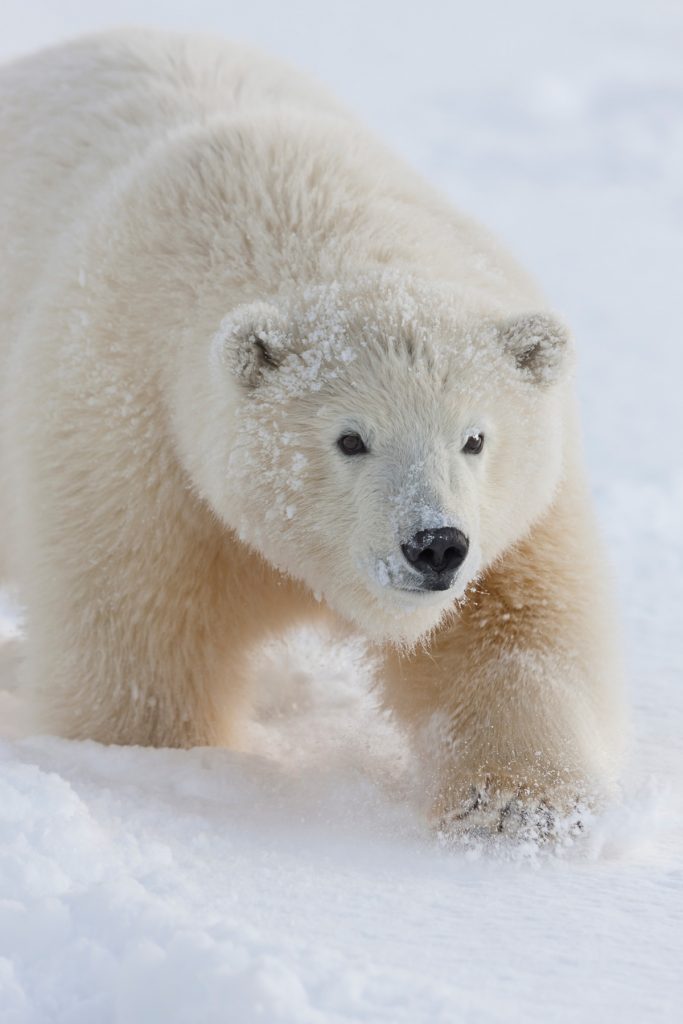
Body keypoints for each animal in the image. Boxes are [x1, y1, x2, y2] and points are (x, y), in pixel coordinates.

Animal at [0, 32, 626, 835]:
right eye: (350, 439)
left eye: (475, 438)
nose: (433, 544)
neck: (302, 209)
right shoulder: (131, 442)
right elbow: (138, 654)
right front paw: (161, 770)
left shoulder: (520, 508)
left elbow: (513, 626)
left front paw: (517, 807)